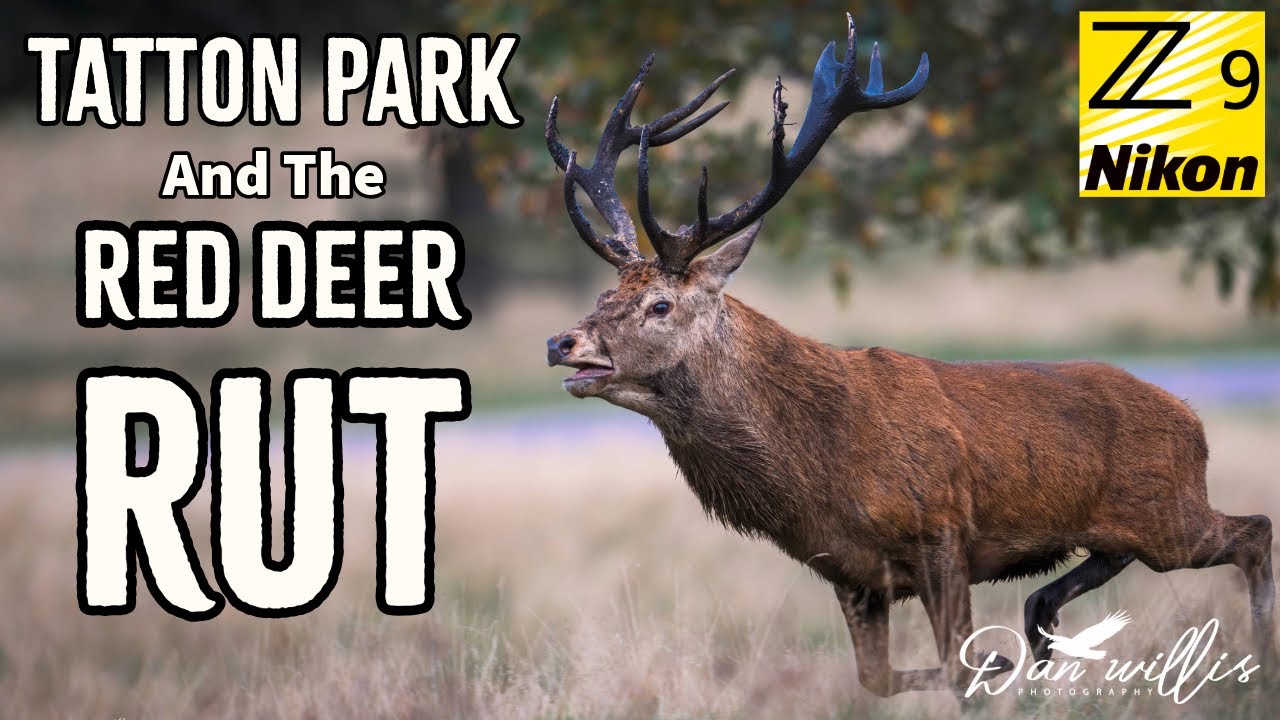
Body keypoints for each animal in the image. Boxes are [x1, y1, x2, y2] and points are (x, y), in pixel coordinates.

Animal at [542, 14, 1275, 696]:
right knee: (1074, 581)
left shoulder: (941, 534)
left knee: (1255, 531)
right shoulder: (849, 571)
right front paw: (1002, 663)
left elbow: (957, 666)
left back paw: (1255, 664)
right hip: (1124, 529)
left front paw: (993, 665)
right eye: (607, 292)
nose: (560, 342)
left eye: (660, 305)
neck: (817, 475)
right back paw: (1042, 643)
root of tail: (1193, 422)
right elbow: (877, 677)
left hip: (1167, 511)